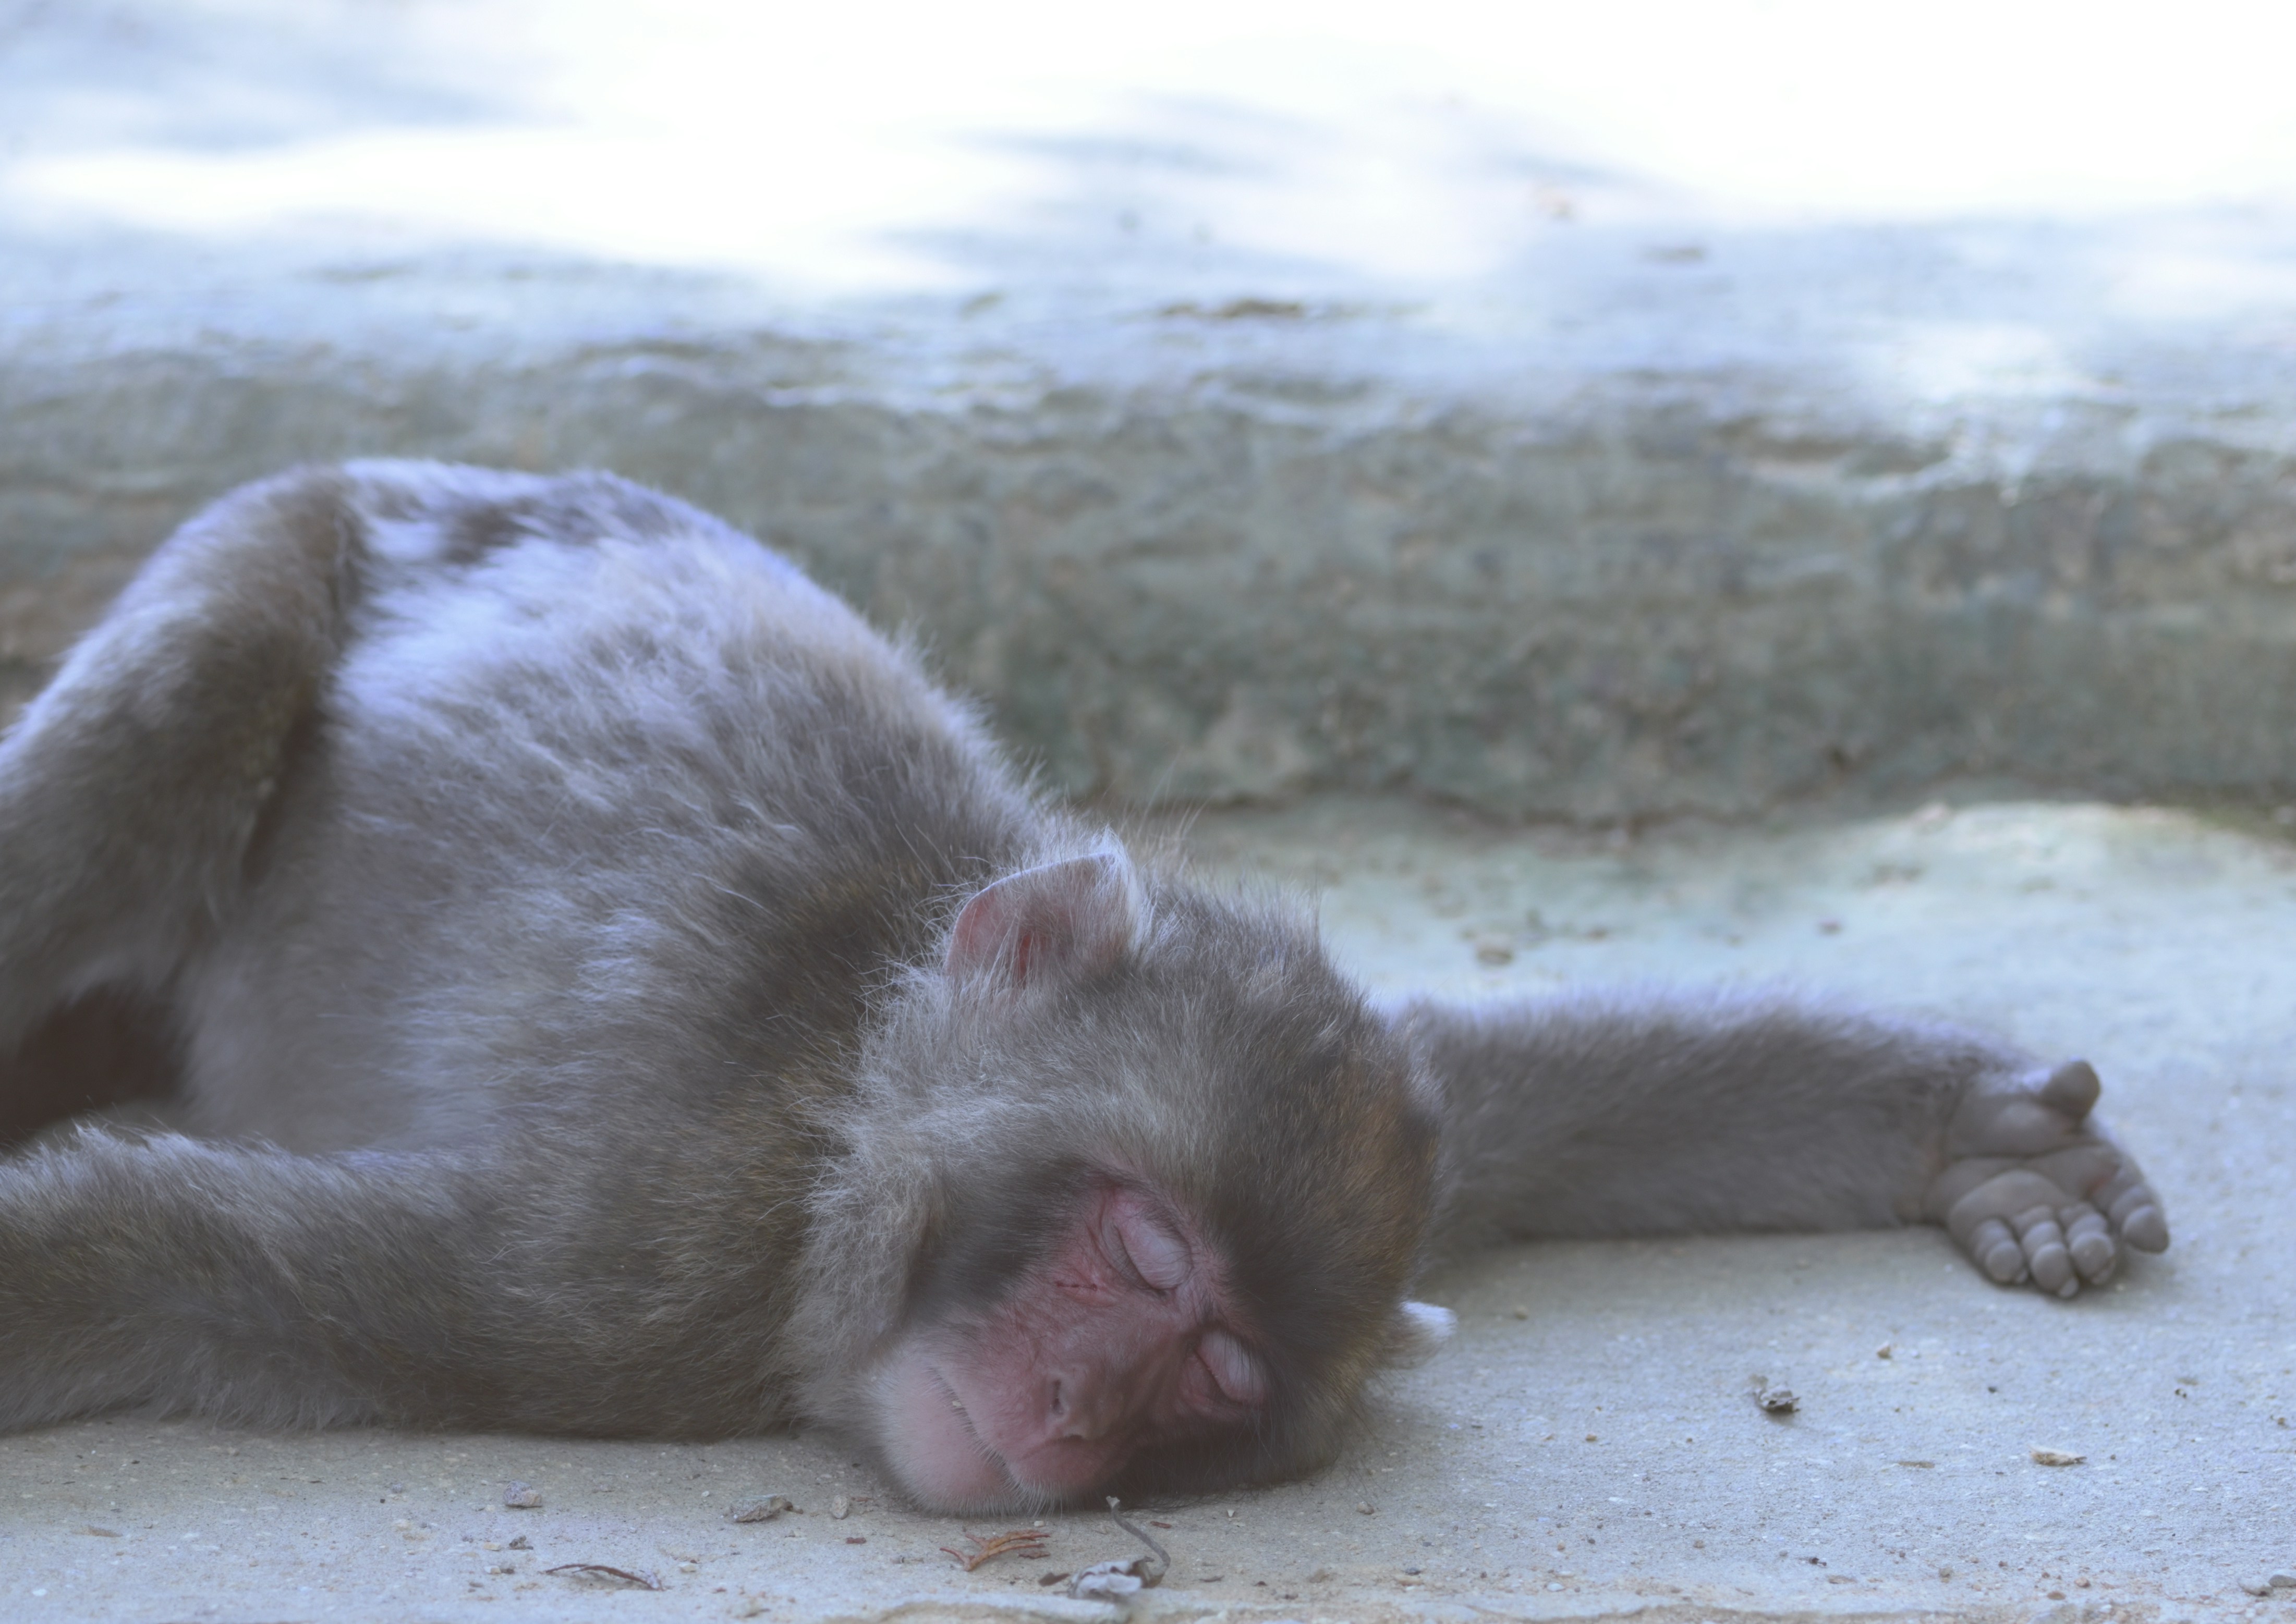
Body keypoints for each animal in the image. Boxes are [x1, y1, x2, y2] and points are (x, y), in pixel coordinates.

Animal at [0, 462, 2168, 1513]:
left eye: (1216, 1375)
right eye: (1141, 1258)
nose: (1067, 1410)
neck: (843, 1099)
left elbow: (1555, 1102)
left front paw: (1966, 1129)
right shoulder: (638, 1288)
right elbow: (165, 1264)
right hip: (285, 530)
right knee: (183, 707)